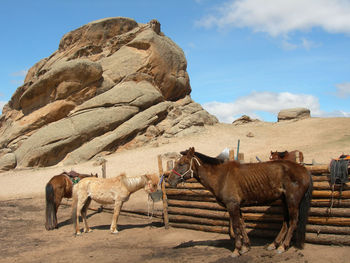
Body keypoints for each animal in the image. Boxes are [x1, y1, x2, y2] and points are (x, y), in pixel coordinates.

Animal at [168, 147, 314, 258]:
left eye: (182, 163)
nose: (169, 180)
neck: (221, 176)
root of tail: (304, 170)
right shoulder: (237, 206)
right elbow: (242, 224)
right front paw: (245, 247)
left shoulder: (232, 206)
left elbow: (236, 226)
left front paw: (237, 250)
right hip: (284, 201)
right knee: (286, 222)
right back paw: (274, 244)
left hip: (292, 201)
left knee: (293, 222)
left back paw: (283, 246)